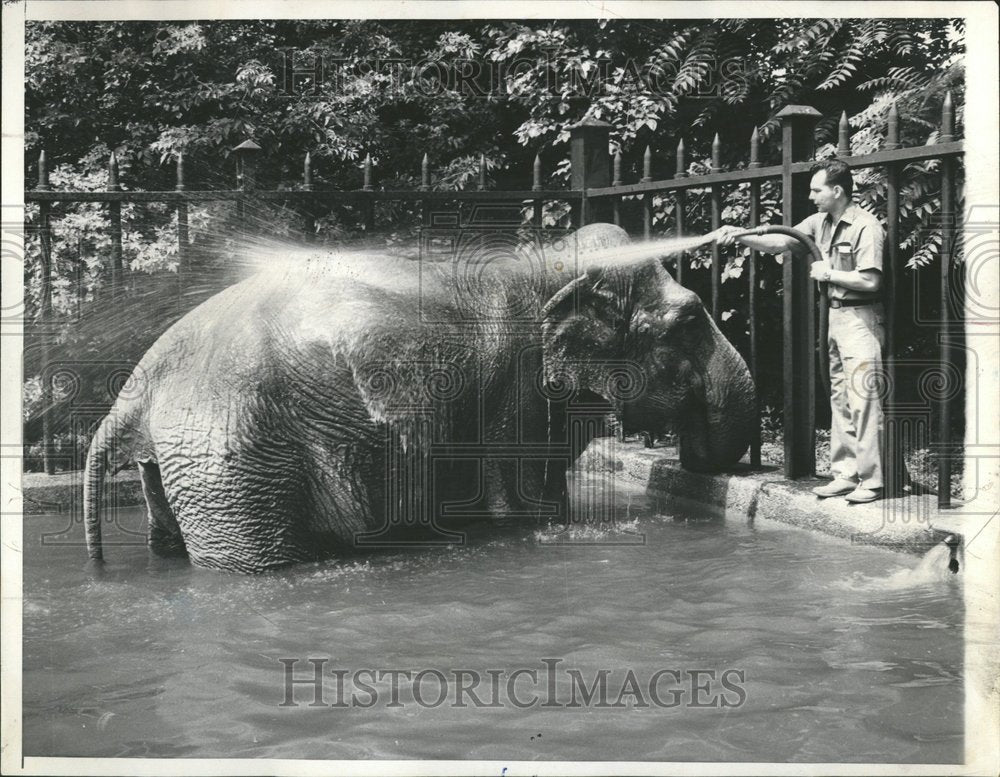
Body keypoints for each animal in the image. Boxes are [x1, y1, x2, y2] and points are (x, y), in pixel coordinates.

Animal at [86, 221, 752, 572]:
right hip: (235, 457)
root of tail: (134, 394)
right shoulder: (516, 389)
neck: (552, 263)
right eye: (689, 320)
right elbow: (527, 509)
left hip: (181, 461)